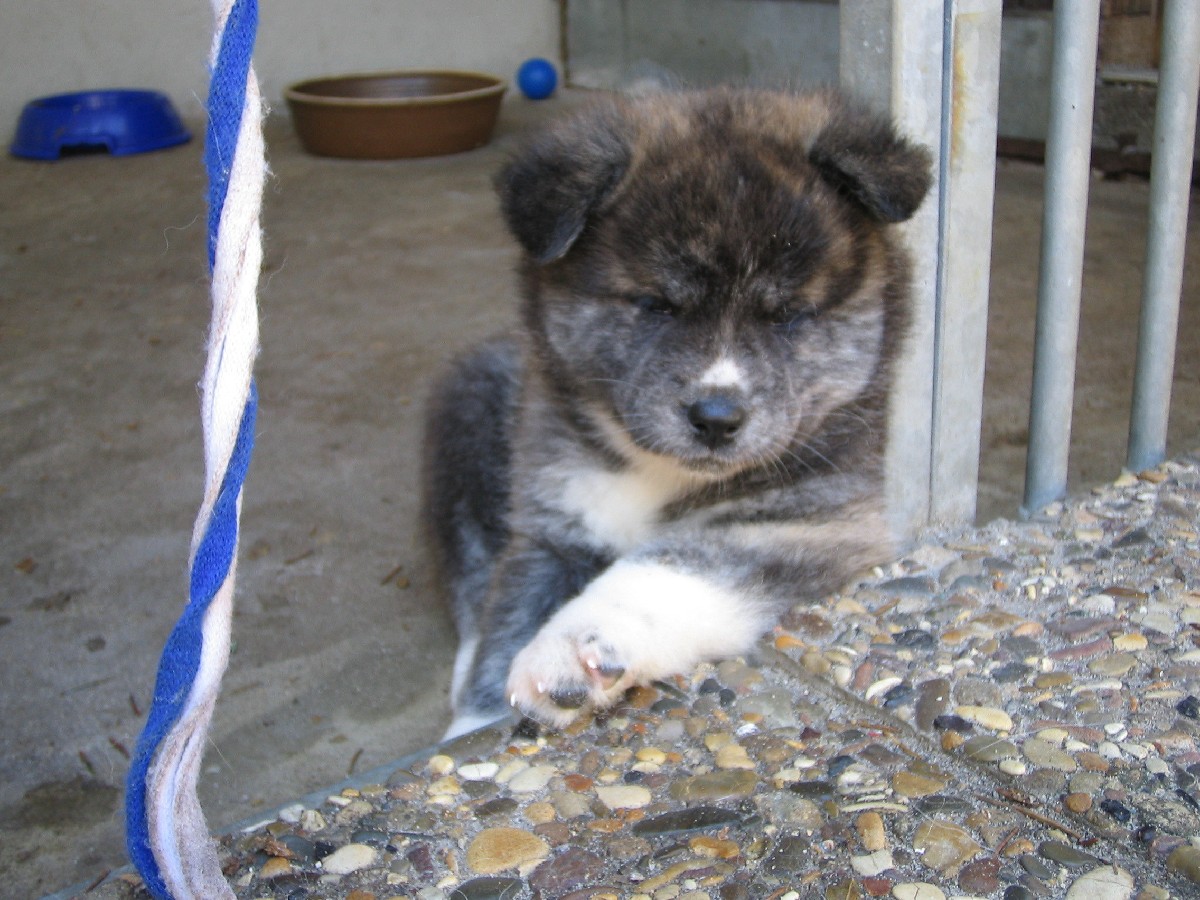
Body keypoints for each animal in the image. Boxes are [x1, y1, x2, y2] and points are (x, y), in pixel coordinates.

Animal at [421, 88, 932, 738]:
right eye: (656, 304)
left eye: (789, 315)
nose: (716, 417)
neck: (659, 474)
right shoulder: (550, 526)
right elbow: (509, 613)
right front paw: (474, 722)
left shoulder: (811, 521)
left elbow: (663, 568)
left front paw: (575, 647)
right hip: (467, 411)